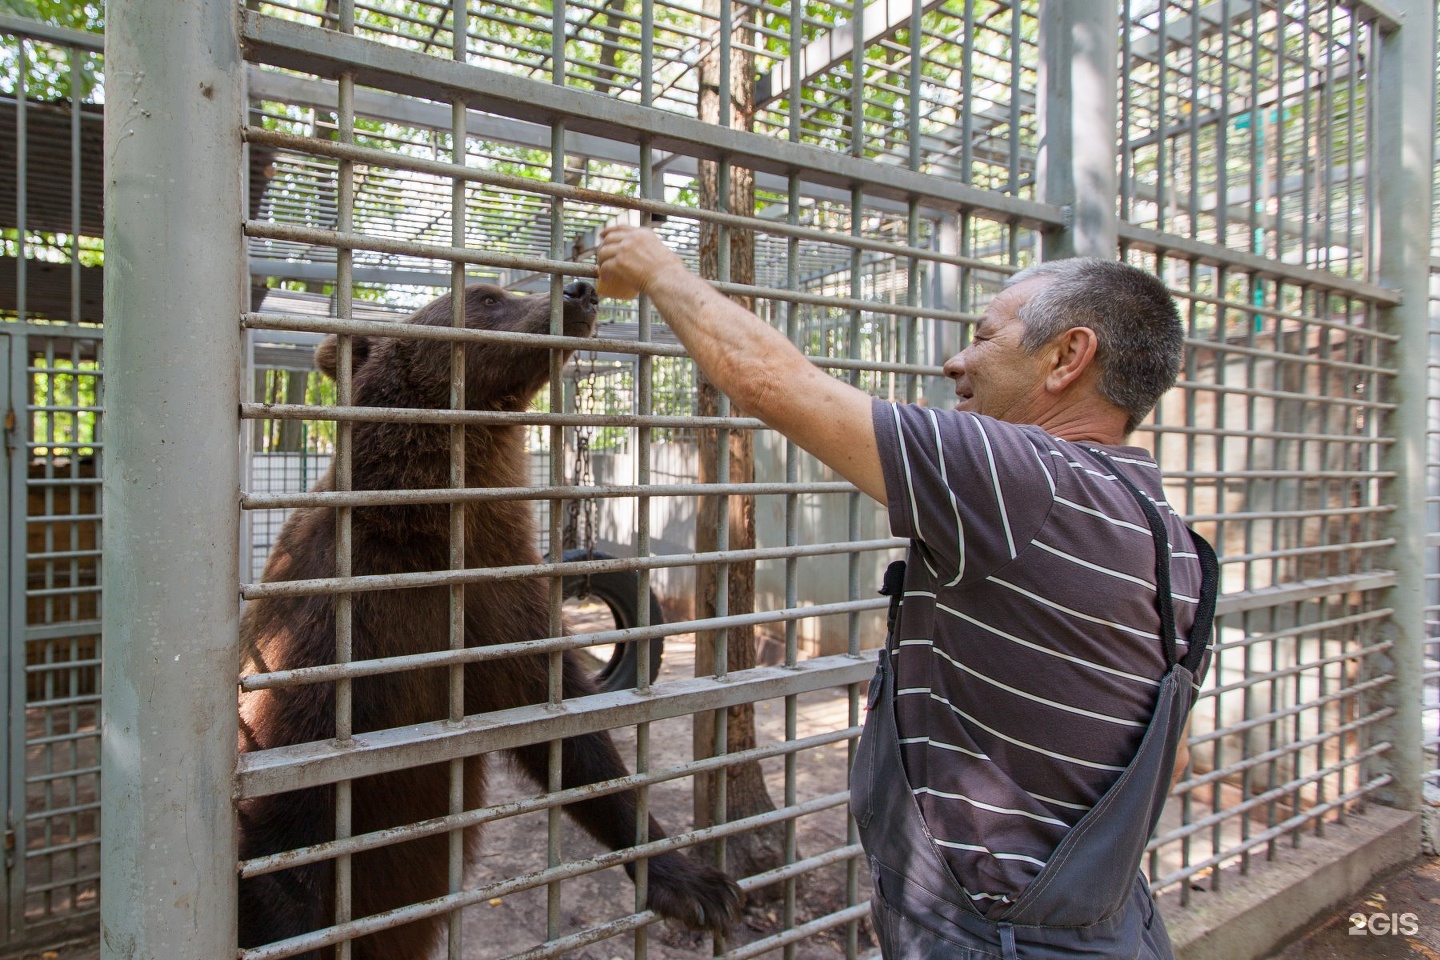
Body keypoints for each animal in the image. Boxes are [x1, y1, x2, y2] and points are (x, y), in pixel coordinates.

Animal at [237, 279, 743, 960]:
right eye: (483, 297)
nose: (580, 289)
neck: (428, 532)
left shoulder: (500, 603)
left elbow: (574, 740)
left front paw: (695, 883)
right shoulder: (323, 630)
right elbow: (285, 823)